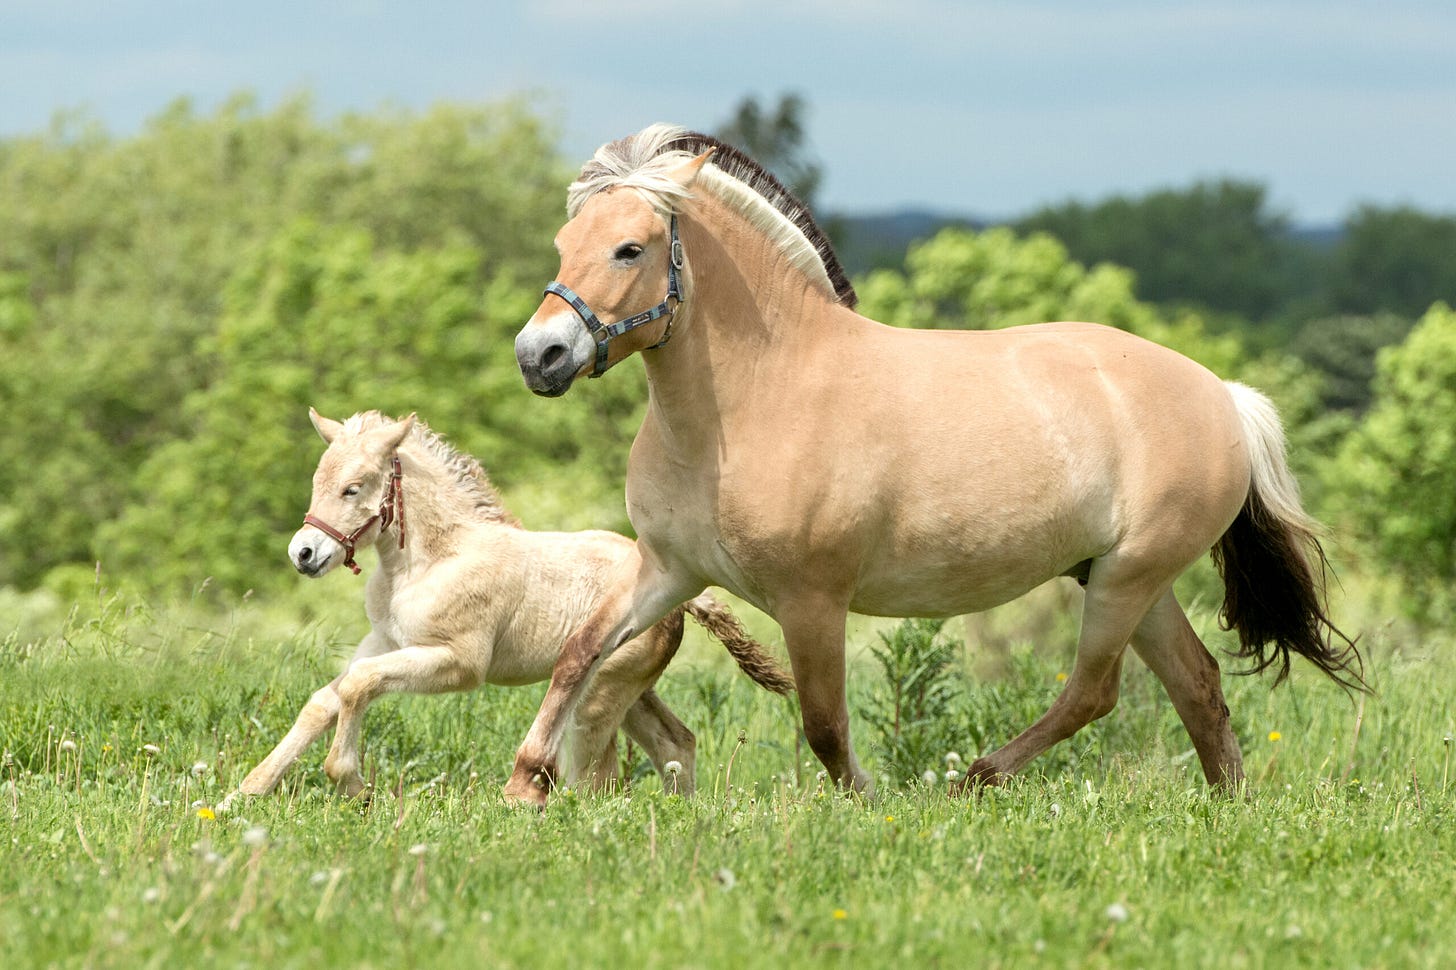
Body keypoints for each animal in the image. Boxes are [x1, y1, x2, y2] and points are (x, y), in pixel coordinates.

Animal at [220, 407, 793, 809]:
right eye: (317, 482)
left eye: (352, 488)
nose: (303, 554)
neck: (432, 560)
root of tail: (686, 595)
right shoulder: (383, 641)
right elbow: (325, 699)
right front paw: (246, 792)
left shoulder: (458, 663)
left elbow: (359, 686)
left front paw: (353, 784)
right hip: (630, 687)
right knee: (675, 743)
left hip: (599, 697)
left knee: (601, 776)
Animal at [504, 124, 1363, 807]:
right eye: (563, 246)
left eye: (630, 249)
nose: (539, 356)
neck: (753, 401)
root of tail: (1222, 396)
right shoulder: (668, 572)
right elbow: (579, 653)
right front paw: (526, 784)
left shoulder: (812, 601)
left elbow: (824, 724)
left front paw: (867, 802)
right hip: (1126, 580)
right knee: (1198, 686)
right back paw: (1230, 806)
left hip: (1129, 579)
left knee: (1095, 691)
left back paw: (975, 779)